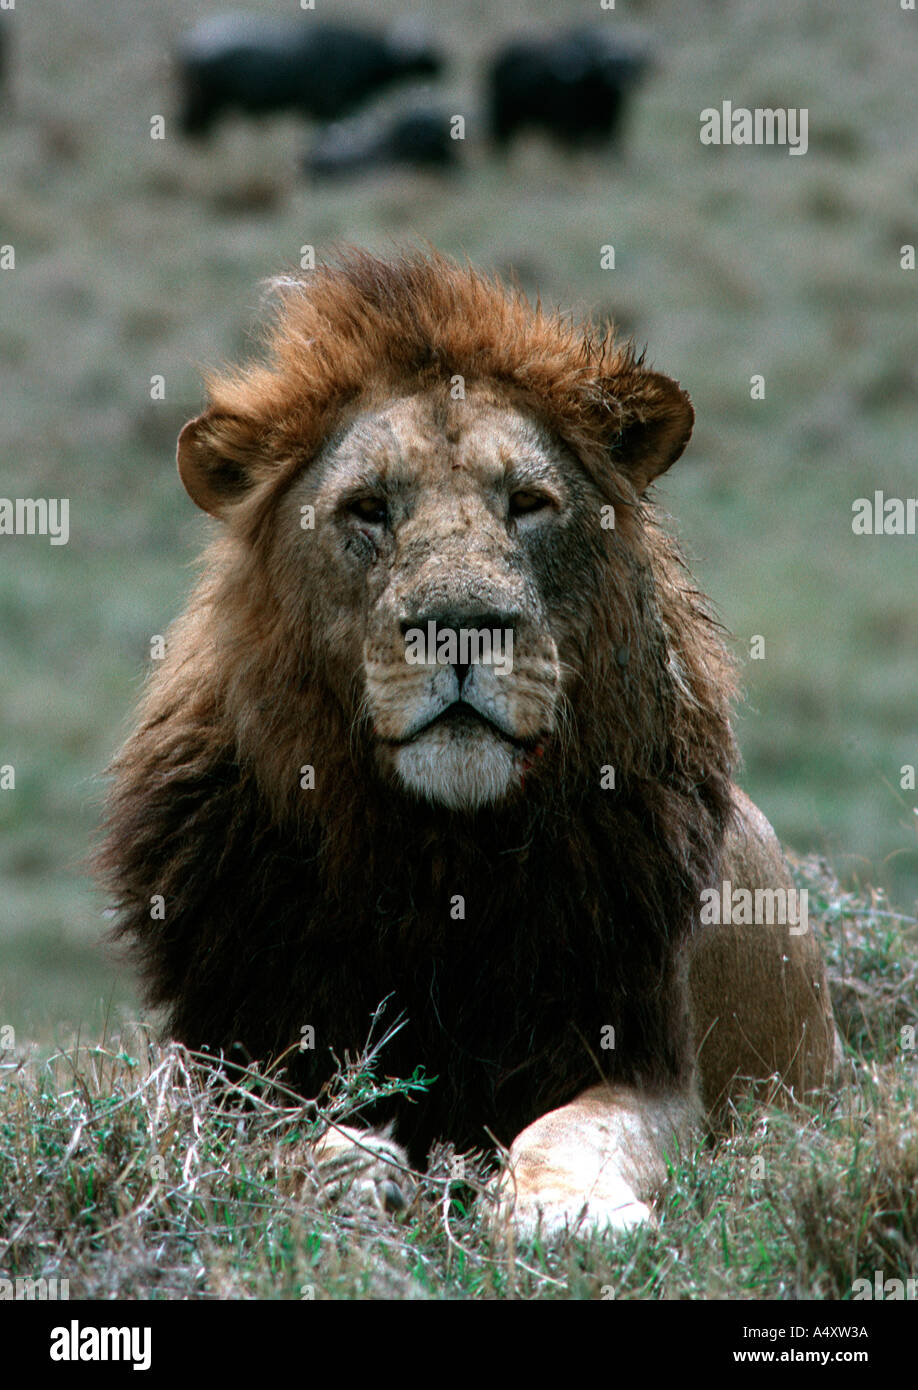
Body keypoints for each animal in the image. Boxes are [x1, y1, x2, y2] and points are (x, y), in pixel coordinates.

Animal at [98, 249, 836, 1240]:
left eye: (527, 503)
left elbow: (572, 1131)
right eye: (368, 508)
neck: (436, 858)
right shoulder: (227, 1049)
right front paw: (349, 1171)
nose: (459, 626)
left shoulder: (655, 1064)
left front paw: (567, 1212)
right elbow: (282, 1123)